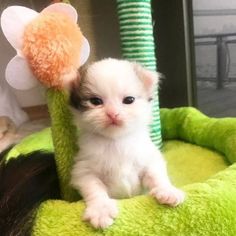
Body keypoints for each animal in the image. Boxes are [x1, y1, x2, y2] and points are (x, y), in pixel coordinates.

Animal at [69, 58, 185, 229]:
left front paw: (167, 190)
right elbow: (94, 188)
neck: (116, 140)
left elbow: (156, 175)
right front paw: (101, 209)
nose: (113, 114)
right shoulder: (84, 169)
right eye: (95, 101)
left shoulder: (148, 159)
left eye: (129, 100)